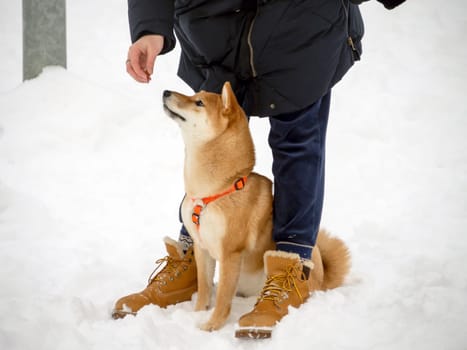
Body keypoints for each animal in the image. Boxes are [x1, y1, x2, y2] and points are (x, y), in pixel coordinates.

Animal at [163, 81, 350, 330]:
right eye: (196, 94)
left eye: (199, 102)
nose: (165, 92)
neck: (215, 190)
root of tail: (321, 278)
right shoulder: (202, 248)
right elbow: (203, 289)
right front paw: (197, 314)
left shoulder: (230, 253)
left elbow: (222, 297)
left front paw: (212, 325)